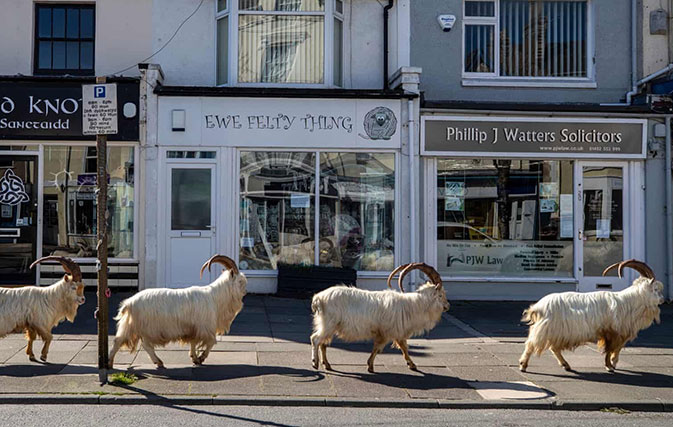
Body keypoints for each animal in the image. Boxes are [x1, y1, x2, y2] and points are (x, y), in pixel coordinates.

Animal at [107, 256, 247, 370]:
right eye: (240, 281)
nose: (245, 291)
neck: (215, 297)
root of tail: (129, 303)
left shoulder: (194, 328)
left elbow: (193, 342)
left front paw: (195, 358)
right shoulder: (205, 328)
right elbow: (211, 342)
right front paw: (201, 358)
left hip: (132, 326)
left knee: (125, 341)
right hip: (143, 327)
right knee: (140, 344)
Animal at [312, 262, 448, 372]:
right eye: (440, 295)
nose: (448, 306)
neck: (412, 306)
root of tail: (318, 298)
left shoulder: (394, 332)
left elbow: (401, 347)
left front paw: (410, 364)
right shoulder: (388, 331)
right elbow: (383, 348)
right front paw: (371, 366)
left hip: (330, 326)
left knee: (323, 344)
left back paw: (327, 364)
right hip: (328, 324)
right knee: (315, 339)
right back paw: (315, 363)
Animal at [516, 260, 664, 372]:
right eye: (656, 289)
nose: (663, 300)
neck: (627, 303)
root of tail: (538, 307)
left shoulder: (616, 333)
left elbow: (615, 349)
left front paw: (612, 363)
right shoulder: (612, 332)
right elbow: (610, 349)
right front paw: (610, 366)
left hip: (555, 332)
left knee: (554, 348)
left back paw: (566, 365)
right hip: (547, 330)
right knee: (531, 344)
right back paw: (523, 365)